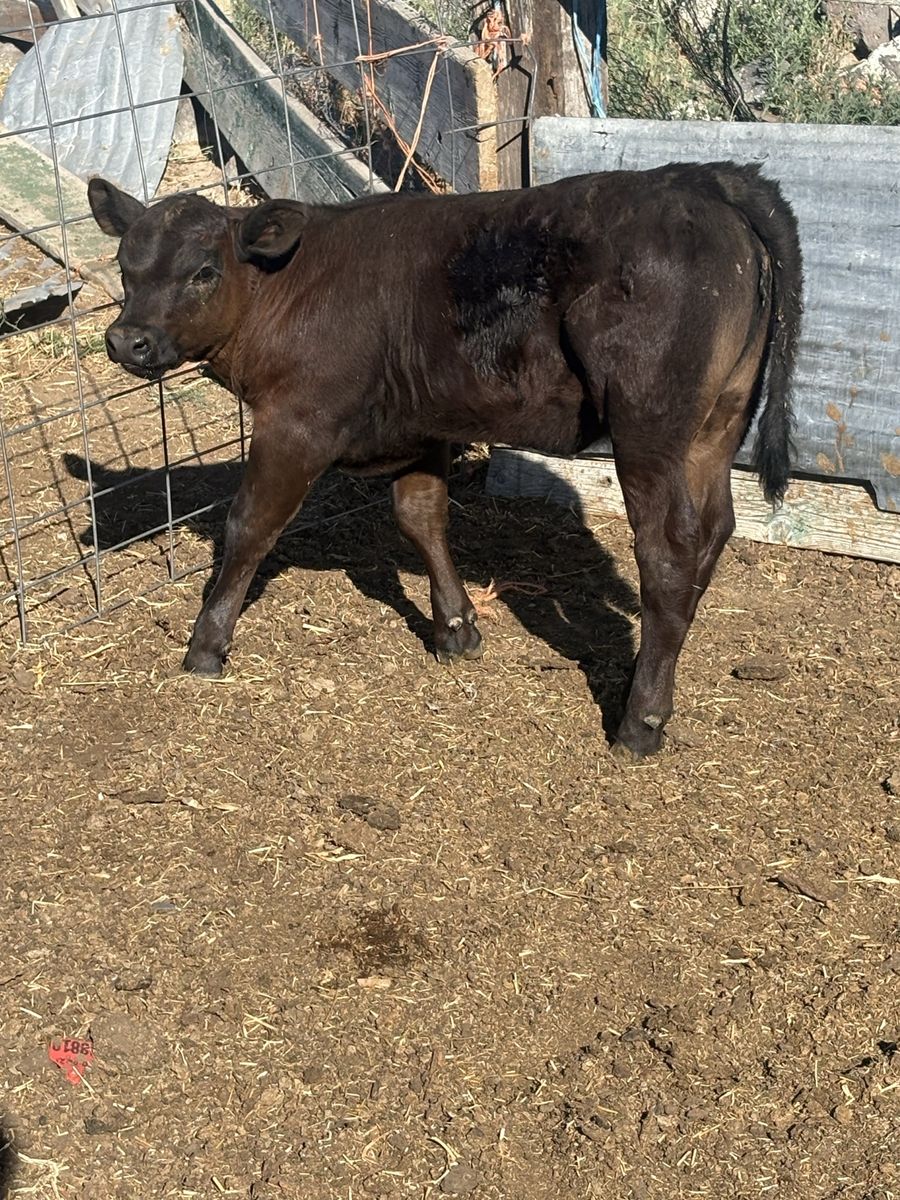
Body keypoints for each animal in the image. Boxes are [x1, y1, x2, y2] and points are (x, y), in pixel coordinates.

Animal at [87, 163, 802, 757]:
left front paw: (206, 644)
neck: (285, 285)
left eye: (203, 271)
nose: (127, 340)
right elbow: (422, 517)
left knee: (668, 552)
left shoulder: (297, 424)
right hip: (716, 427)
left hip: (649, 431)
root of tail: (705, 179)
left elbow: (249, 528)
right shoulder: (419, 426)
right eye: (125, 267)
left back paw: (640, 720)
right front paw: (456, 628)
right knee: (713, 531)